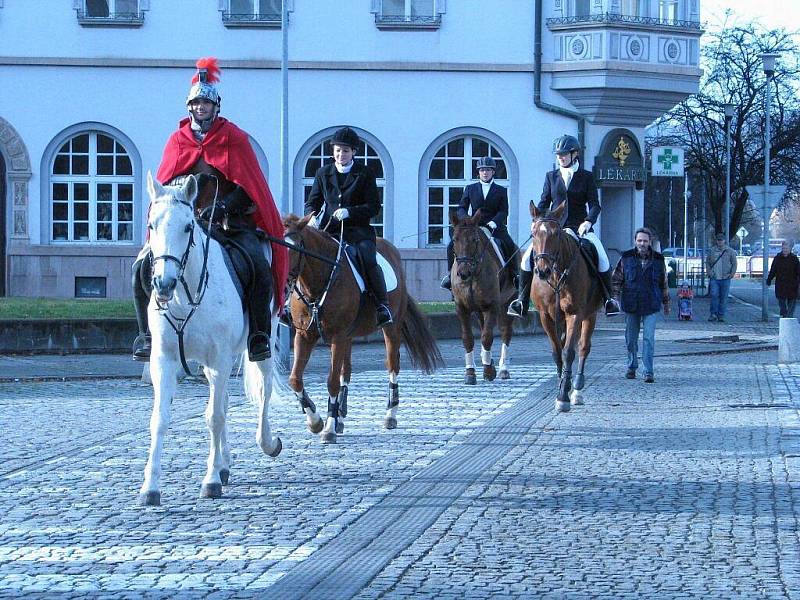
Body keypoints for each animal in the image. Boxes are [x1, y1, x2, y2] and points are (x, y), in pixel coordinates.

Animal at [140, 172, 282, 506]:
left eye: (188, 226)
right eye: (152, 225)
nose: (163, 283)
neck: (184, 297)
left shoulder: (219, 360)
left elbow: (215, 417)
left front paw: (210, 481)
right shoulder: (163, 361)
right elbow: (160, 419)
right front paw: (151, 487)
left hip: (261, 342)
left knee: (263, 389)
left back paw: (266, 442)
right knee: (226, 402)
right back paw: (224, 463)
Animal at [282, 213, 444, 442]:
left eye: (295, 248)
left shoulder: (338, 336)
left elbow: (332, 381)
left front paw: (328, 428)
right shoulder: (305, 334)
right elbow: (295, 379)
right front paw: (315, 421)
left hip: (390, 329)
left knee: (392, 366)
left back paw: (390, 415)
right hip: (348, 337)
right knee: (347, 372)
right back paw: (340, 417)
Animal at [450, 209, 520, 382]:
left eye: (474, 239)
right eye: (454, 239)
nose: (463, 273)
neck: (474, 273)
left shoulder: (492, 306)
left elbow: (487, 337)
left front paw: (488, 371)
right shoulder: (462, 308)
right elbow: (467, 338)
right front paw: (470, 372)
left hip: (507, 303)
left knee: (505, 332)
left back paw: (503, 369)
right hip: (478, 309)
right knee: (483, 326)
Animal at [532, 203, 600, 412]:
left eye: (556, 234)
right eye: (533, 233)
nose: (543, 270)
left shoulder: (575, 314)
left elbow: (569, 352)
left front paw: (563, 396)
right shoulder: (545, 316)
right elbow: (557, 352)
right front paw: (561, 386)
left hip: (590, 315)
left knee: (583, 347)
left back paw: (576, 390)